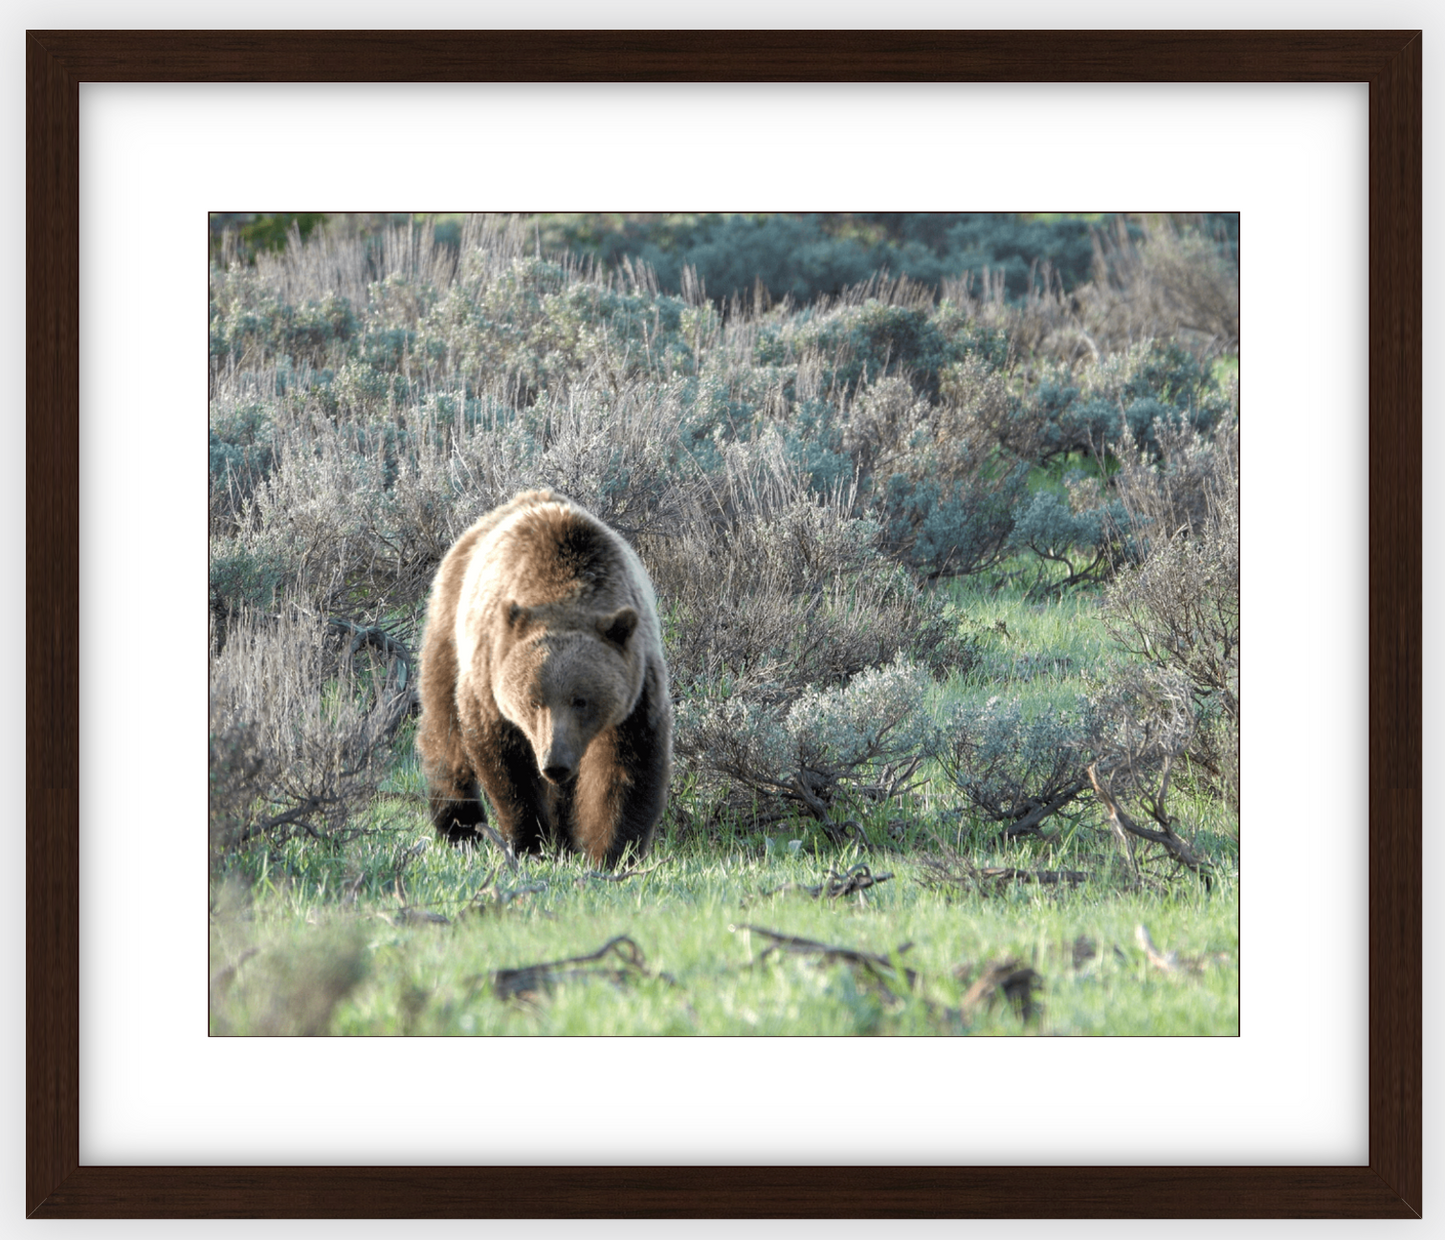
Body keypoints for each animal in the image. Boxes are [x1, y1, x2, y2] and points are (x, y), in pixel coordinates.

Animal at [413, 488, 670, 867]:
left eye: (581, 700)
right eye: (533, 701)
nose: (555, 763)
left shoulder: (636, 689)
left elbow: (626, 768)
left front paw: (612, 852)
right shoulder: (492, 676)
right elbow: (508, 766)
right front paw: (528, 842)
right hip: (449, 626)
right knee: (444, 726)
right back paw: (459, 825)